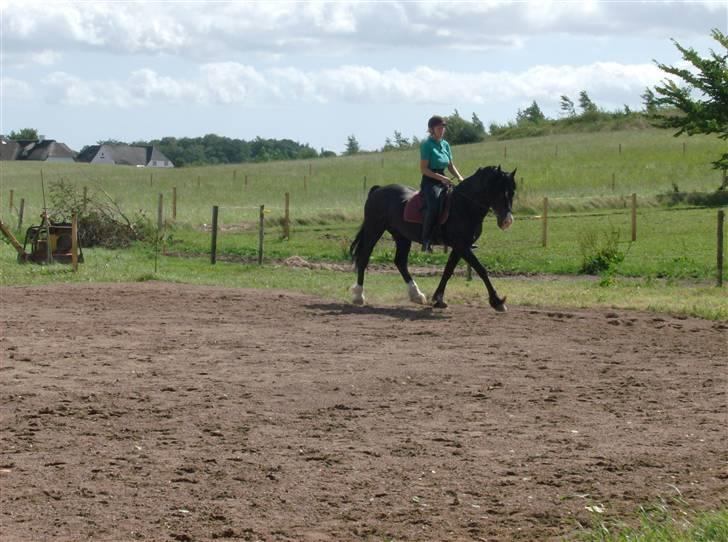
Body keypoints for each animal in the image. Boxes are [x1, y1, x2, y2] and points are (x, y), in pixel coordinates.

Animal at [350, 164, 516, 312]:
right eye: (499, 192)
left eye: (512, 192)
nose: (507, 221)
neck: (464, 205)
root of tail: (378, 190)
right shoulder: (462, 246)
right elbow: (481, 269)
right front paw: (497, 301)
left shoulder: (460, 247)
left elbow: (448, 270)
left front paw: (438, 299)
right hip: (374, 230)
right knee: (364, 258)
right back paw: (359, 296)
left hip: (402, 237)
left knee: (400, 262)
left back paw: (417, 295)